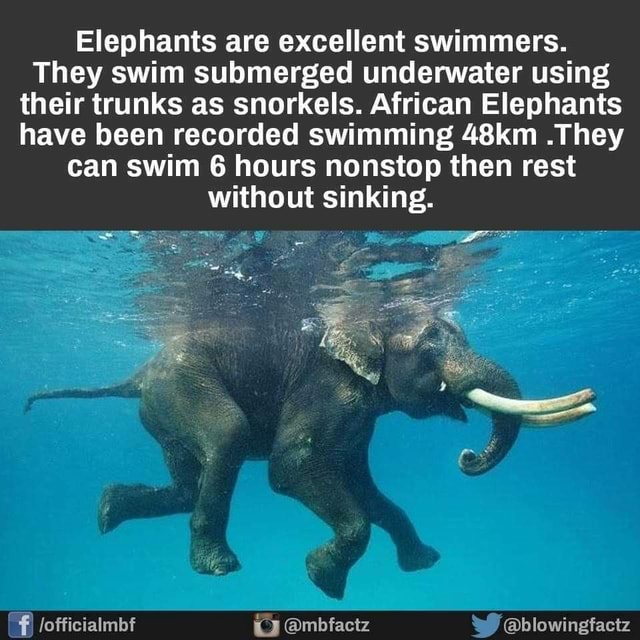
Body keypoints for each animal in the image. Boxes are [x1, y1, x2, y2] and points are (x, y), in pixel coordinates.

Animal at [25, 314, 596, 599]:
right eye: (431, 350)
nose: (468, 456)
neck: (368, 326)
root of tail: (137, 374)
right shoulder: (326, 389)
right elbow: (293, 469)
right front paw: (323, 580)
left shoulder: (359, 416)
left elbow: (367, 491)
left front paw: (424, 564)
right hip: (181, 387)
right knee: (227, 439)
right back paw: (218, 567)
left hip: (163, 409)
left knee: (189, 483)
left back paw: (106, 510)